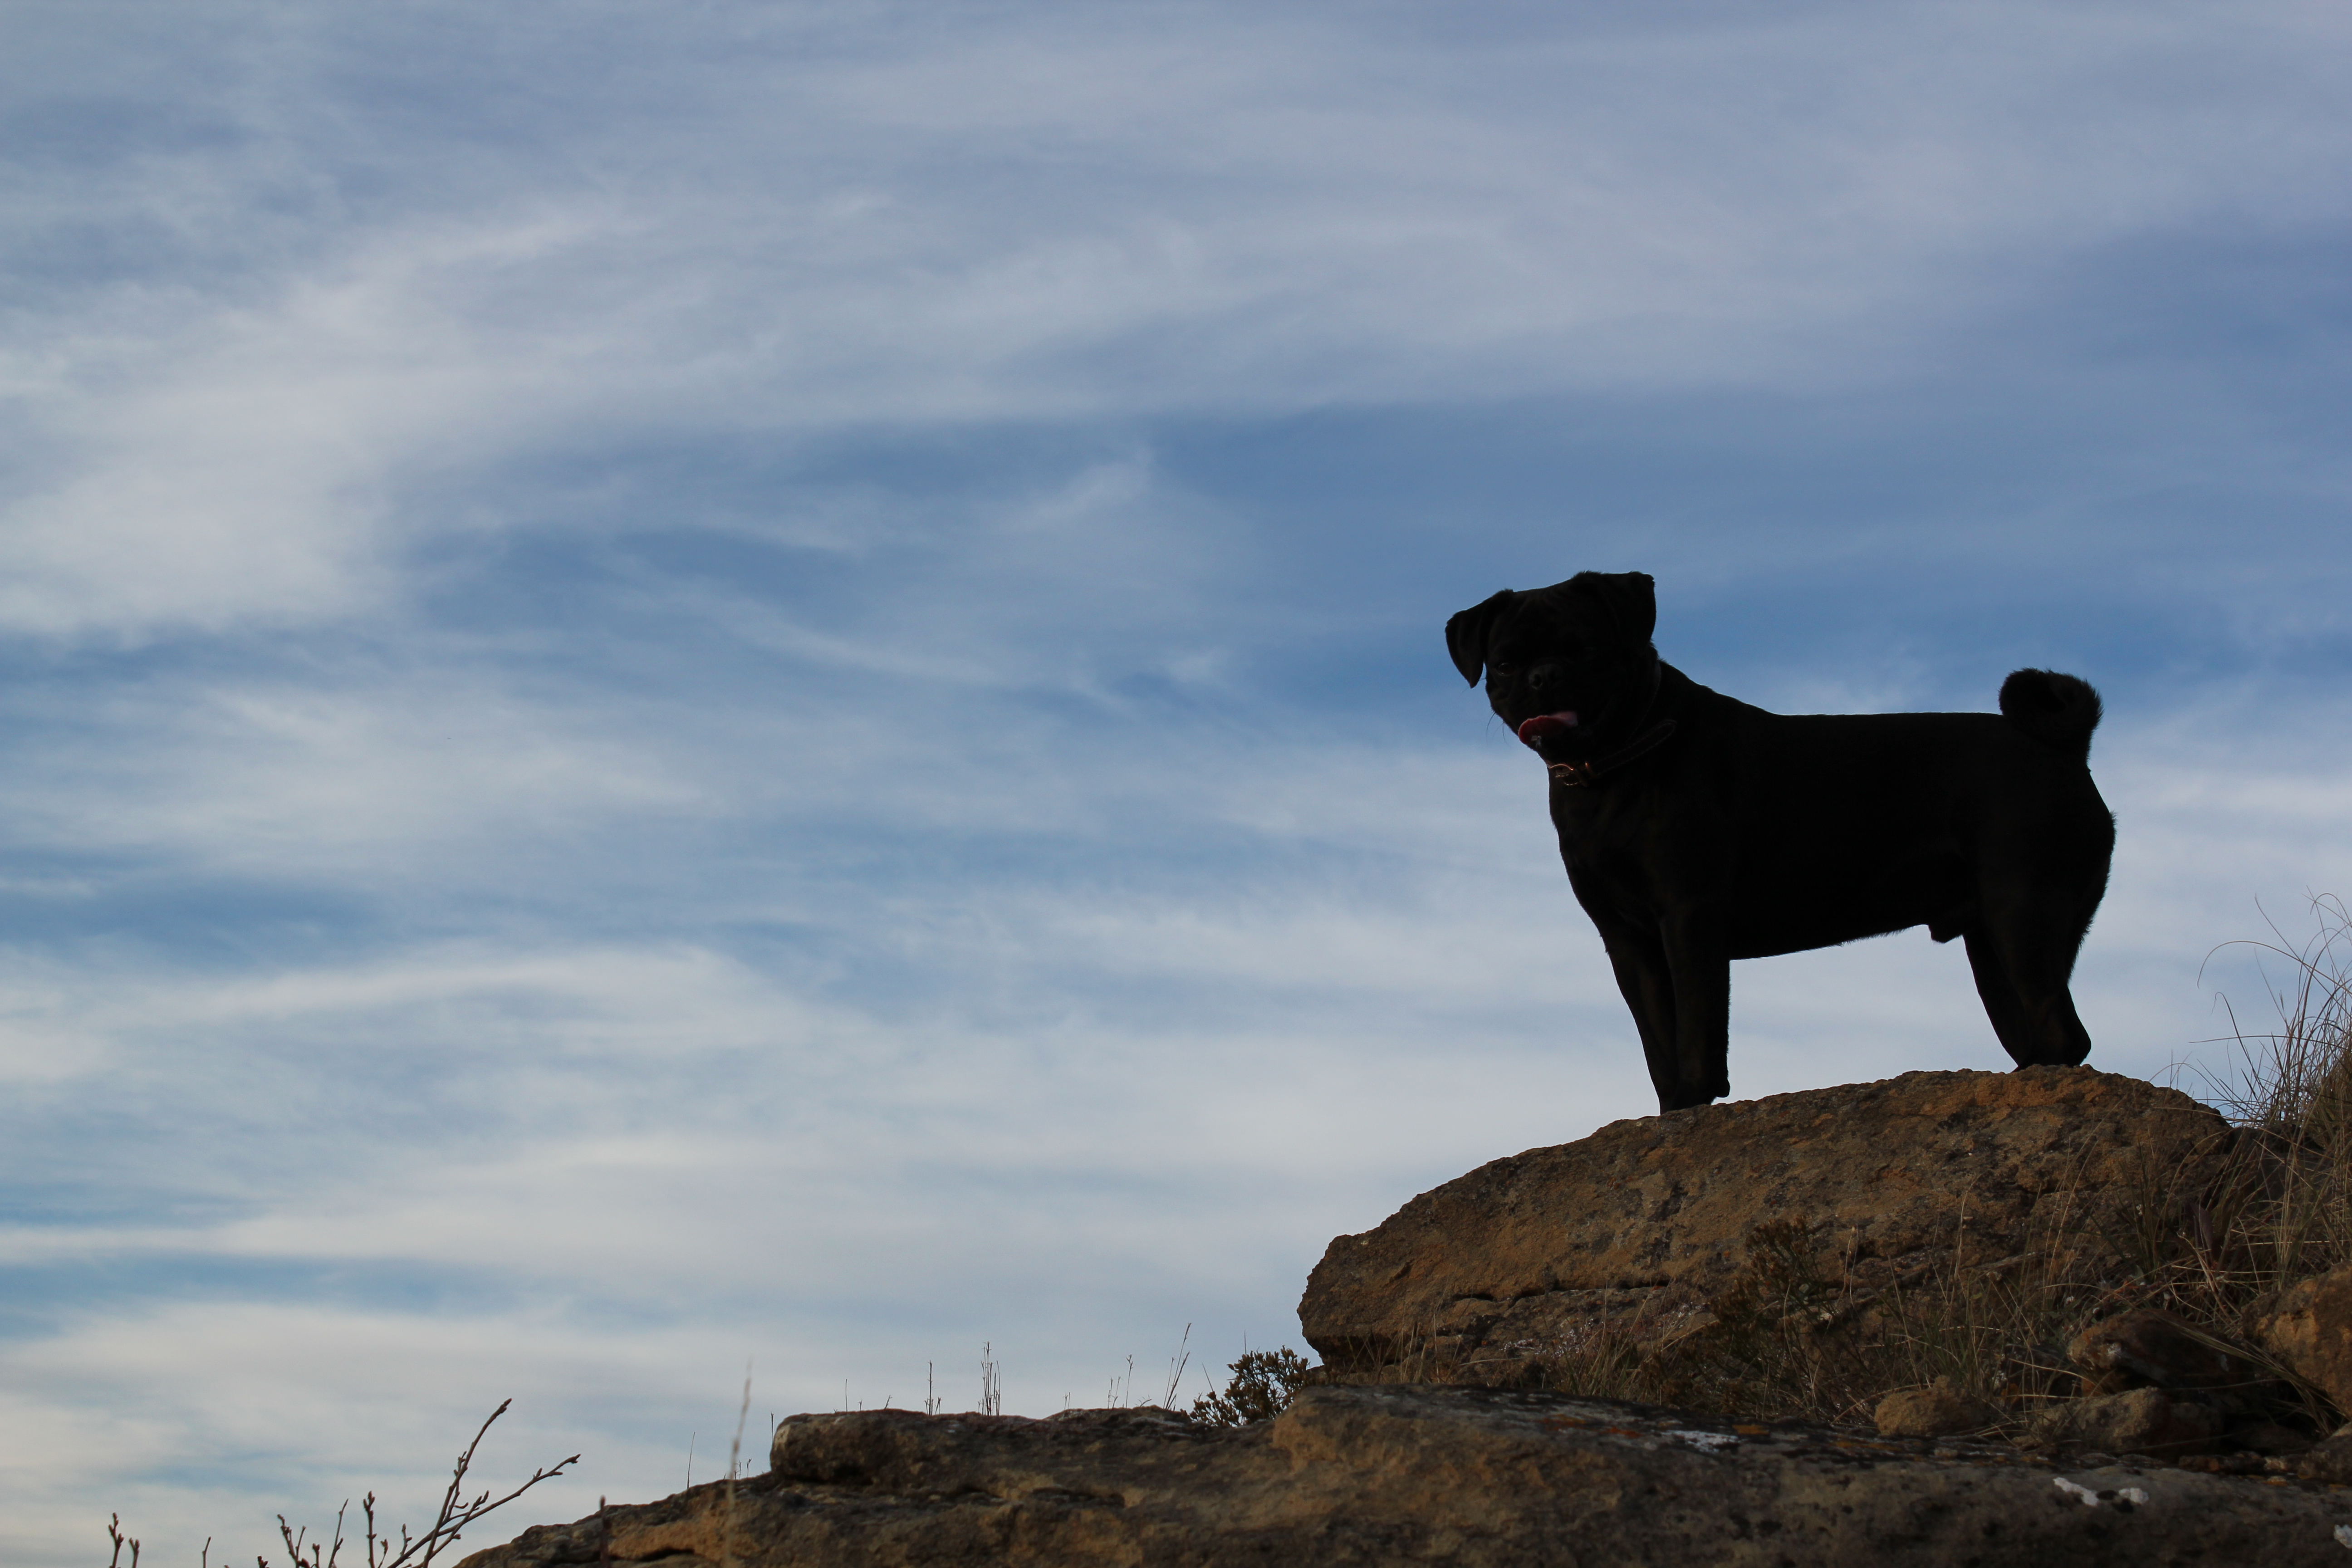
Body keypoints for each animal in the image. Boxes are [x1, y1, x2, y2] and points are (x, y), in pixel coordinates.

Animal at [1447, 571, 2114, 1113]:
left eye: (1585, 648)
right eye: (1504, 664)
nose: (1545, 676)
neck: (1614, 766)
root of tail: (2061, 747)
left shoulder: (1688, 917)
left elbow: (1696, 1032)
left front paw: (1697, 1099)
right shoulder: (1629, 942)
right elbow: (1658, 1044)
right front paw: (1674, 1111)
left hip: (2021, 910)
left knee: (2061, 1031)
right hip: (1992, 946)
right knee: (2036, 1033)